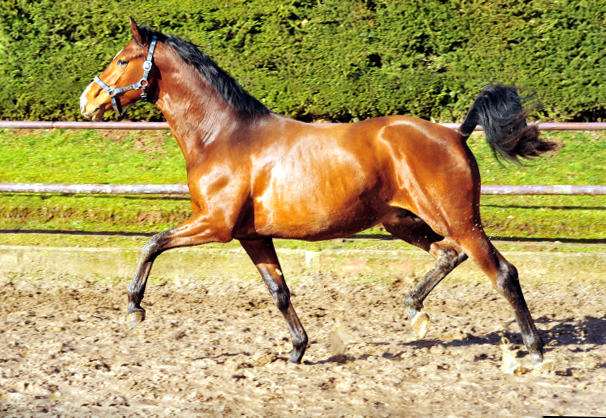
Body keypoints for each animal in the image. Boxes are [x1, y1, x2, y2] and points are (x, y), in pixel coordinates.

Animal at [81, 19, 560, 368]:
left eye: (122, 60)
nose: (88, 102)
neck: (223, 135)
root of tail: (455, 134)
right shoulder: (252, 236)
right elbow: (279, 292)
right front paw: (297, 349)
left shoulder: (215, 225)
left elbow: (152, 244)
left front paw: (134, 308)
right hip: (403, 221)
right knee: (448, 254)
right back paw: (415, 310)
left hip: (458, 219)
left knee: (502, 272)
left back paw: (534, 350)